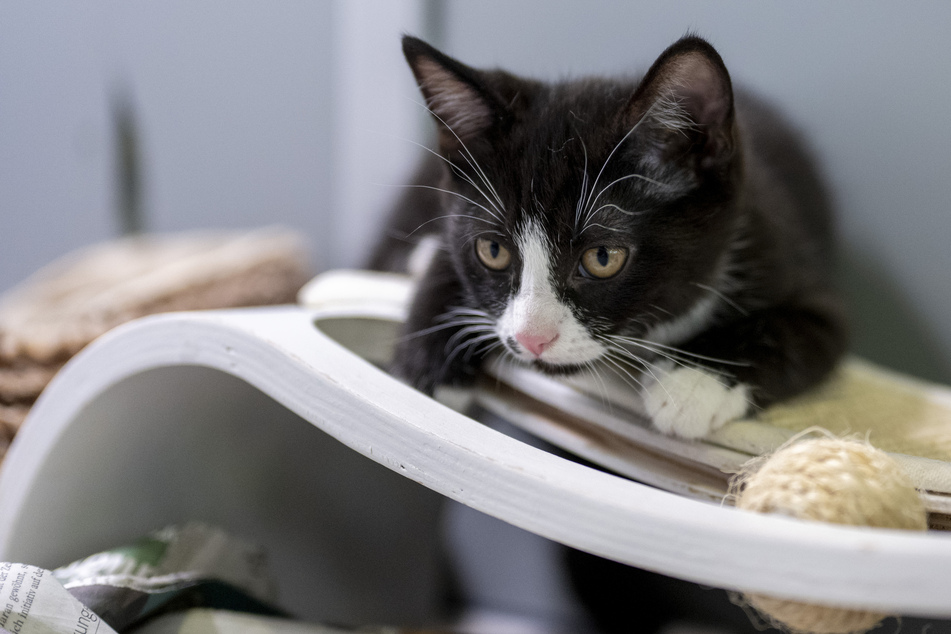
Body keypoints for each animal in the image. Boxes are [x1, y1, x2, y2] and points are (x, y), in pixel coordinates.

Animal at [372, 33, 848, 440]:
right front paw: (424, 365)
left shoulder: (793, 262)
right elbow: (446, 259)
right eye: (492, 250)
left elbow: (791, 331)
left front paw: (693, 382)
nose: (532, 339)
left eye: (602, 257)